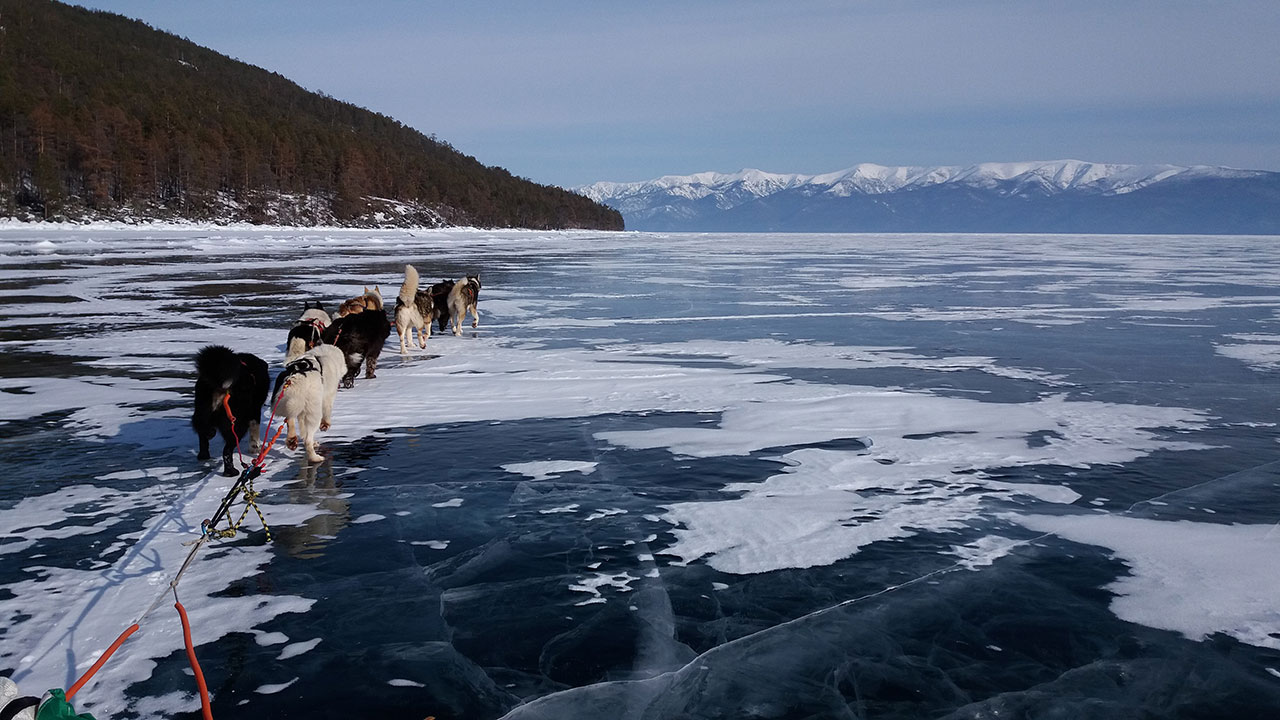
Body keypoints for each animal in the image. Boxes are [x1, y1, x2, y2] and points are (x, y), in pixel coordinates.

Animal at [189, 343, 267, 474]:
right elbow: (255, 428)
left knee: (202, 433)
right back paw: (231, 471)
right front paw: (255, 447)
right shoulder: (254, 410)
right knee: (227, 449)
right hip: (236, 424)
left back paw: (204, 452)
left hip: (201, 410)